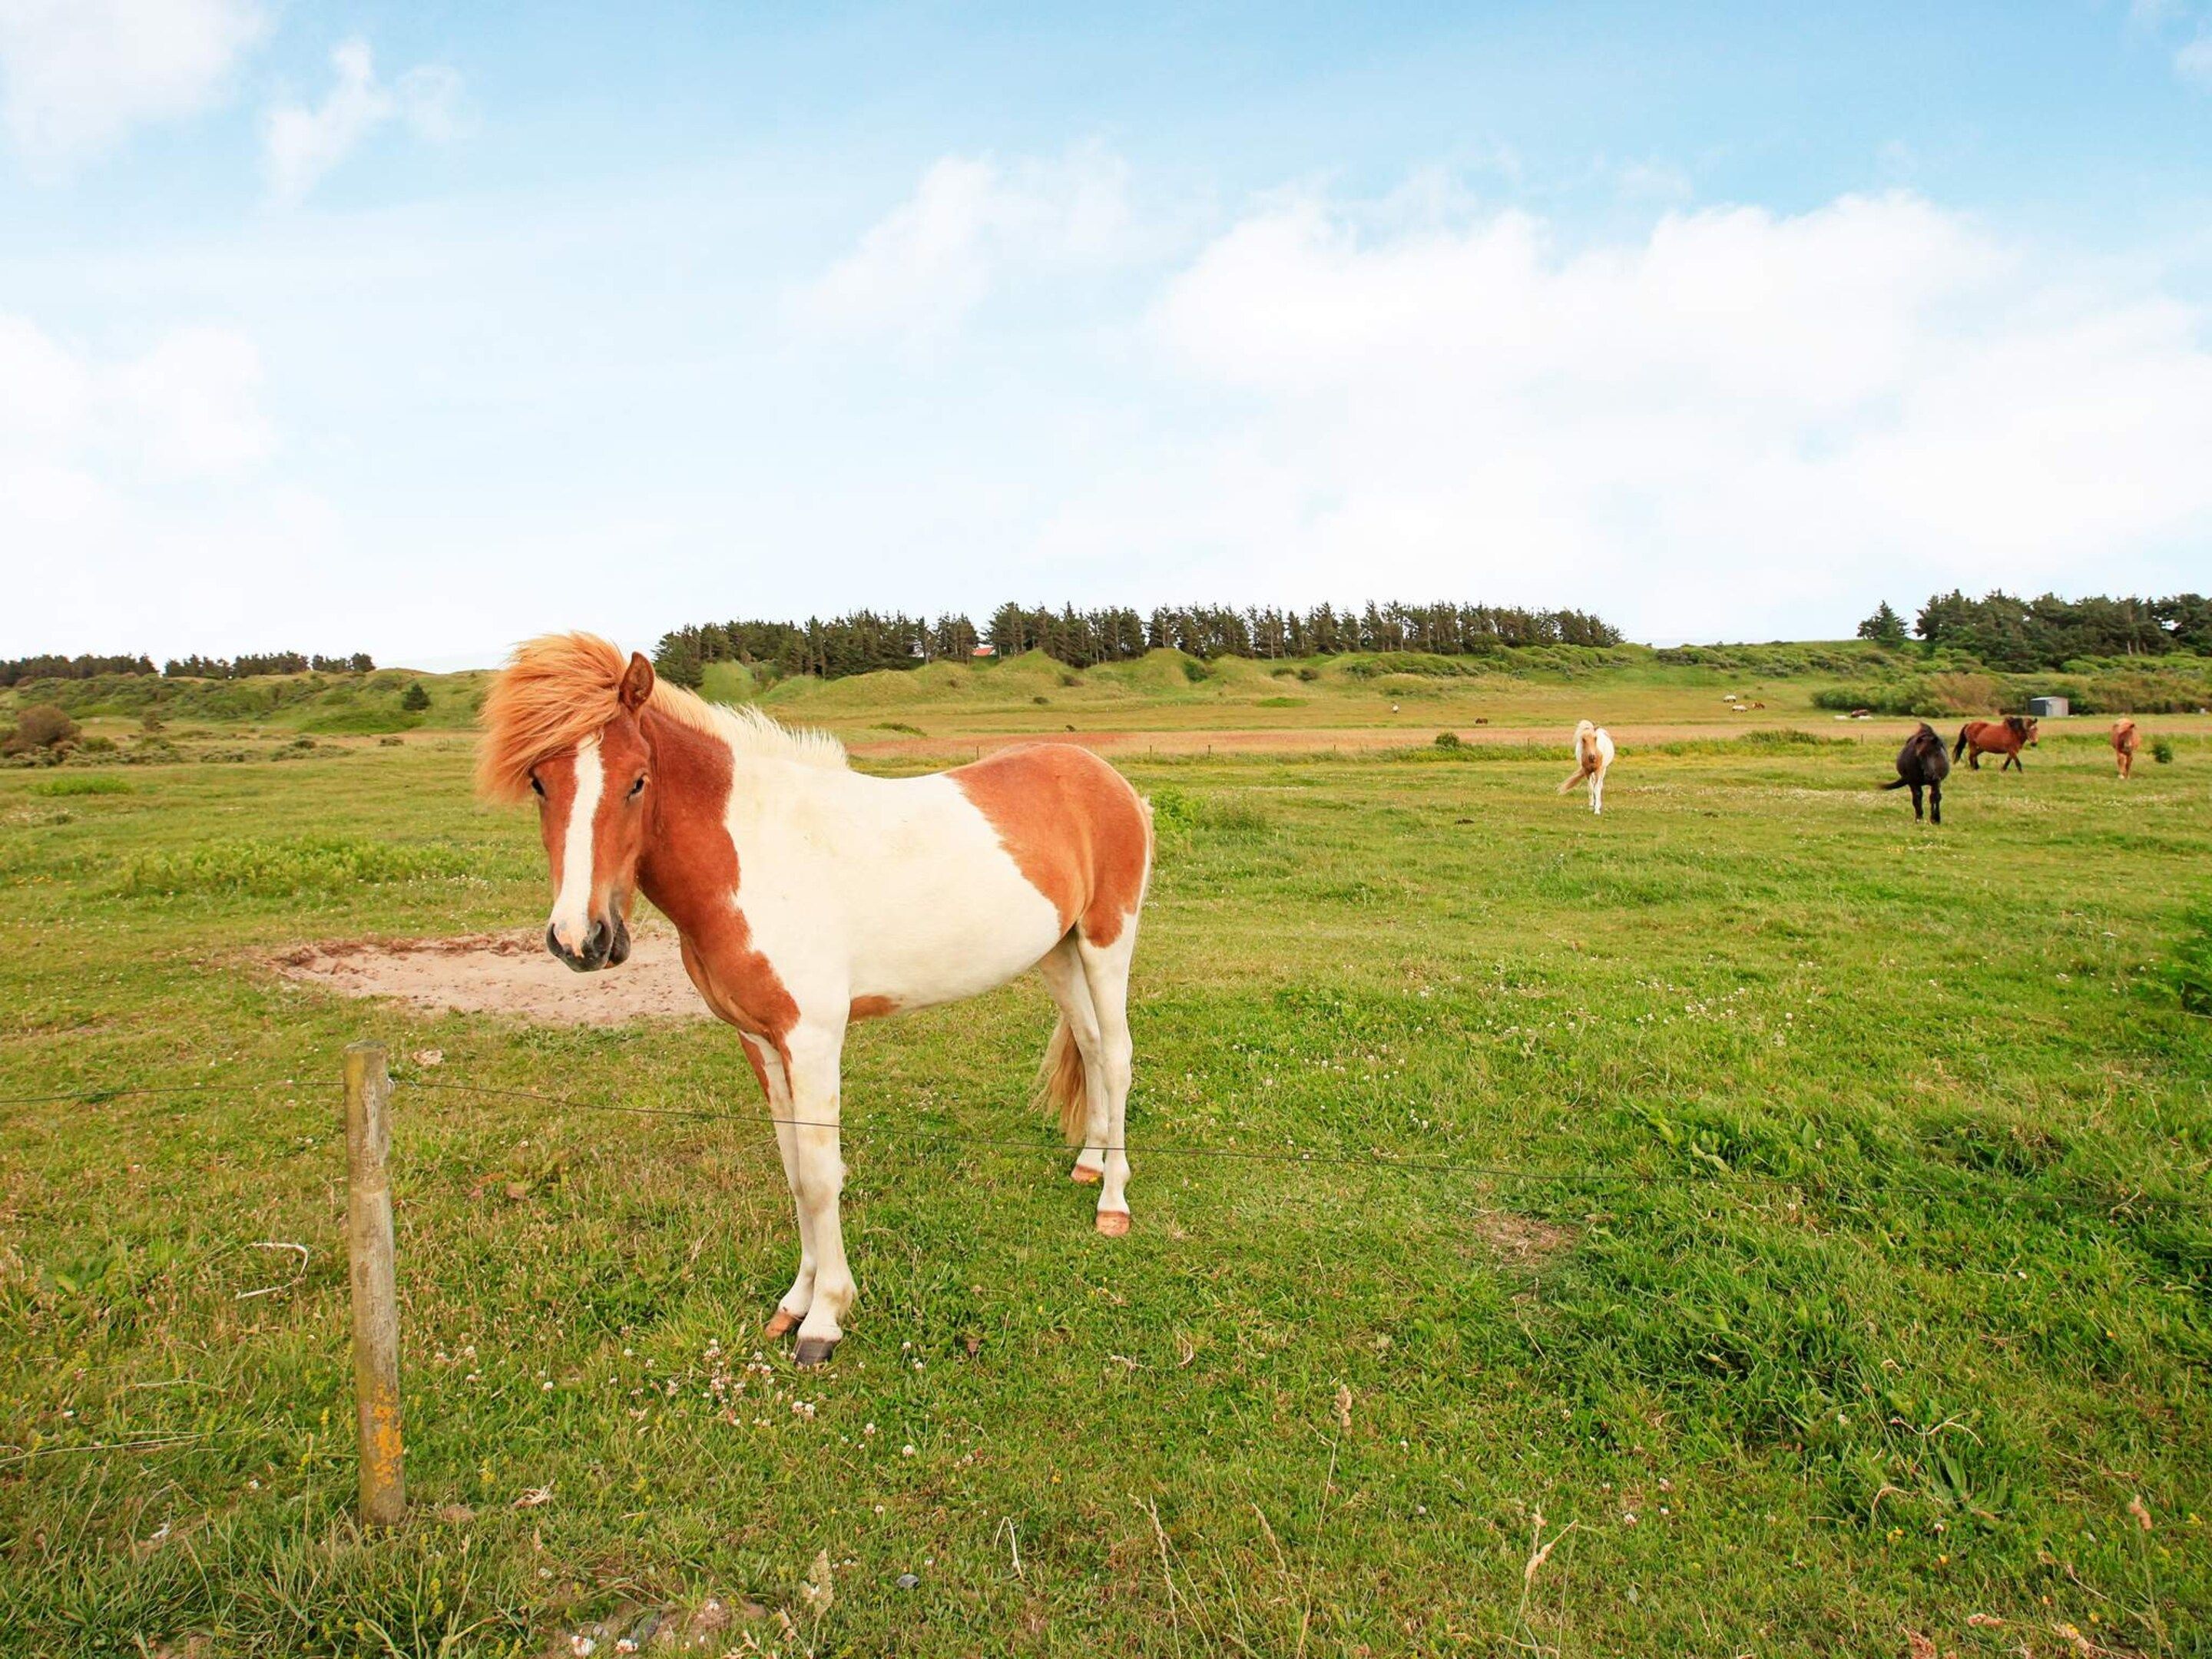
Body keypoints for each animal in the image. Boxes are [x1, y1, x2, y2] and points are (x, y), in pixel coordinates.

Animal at [477, 634, 1153, 1366]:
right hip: (1057, 953)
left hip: (1106, 941)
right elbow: (796, 1172)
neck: (754, 857)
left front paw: (825, 1319)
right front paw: (793, 1303)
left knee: (1118, 1057)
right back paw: (1088, 1164)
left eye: (637, 780)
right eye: (540, 782)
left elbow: (824, 1173)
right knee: (1090, 1046)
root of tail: (1106, 778)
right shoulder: (760, 1040)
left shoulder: (813, 1038)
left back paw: (1113, 1202)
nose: (582, 939)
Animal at [1881, 722, 1950, 822]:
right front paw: (1919, 818)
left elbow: (1935, 797)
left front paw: (1935, 819)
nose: (1930, 775)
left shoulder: (1937, 780)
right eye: (1920, 755)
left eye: (1937, 753)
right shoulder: (1913, 782)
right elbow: (1917, 797)